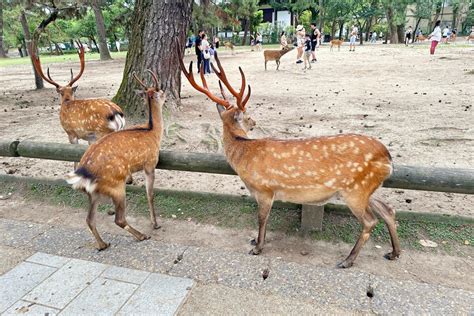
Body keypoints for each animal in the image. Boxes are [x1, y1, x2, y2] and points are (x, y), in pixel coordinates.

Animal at [65, 70, 164, 251]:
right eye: (160, 91)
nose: (165, 94)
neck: (153, 132)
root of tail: (83, 174)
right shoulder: (150, 164)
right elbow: (150, 194)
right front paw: (155, 223)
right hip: (116, 187)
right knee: (119, 219)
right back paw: (142, 235)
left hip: (93, 193)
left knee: (89, 219)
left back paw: (102, 244)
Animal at [180, 52, 402, 270]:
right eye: (248, 116)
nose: (254, 122)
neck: (244, 157)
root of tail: (388, 157)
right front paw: (255, 241)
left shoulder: (265, 189)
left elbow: (262, 218)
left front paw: (257, 247)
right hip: (367, 188)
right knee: (388, 210)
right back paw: (394, 253)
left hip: (355, 190)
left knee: (370, 221)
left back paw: (347, 260)